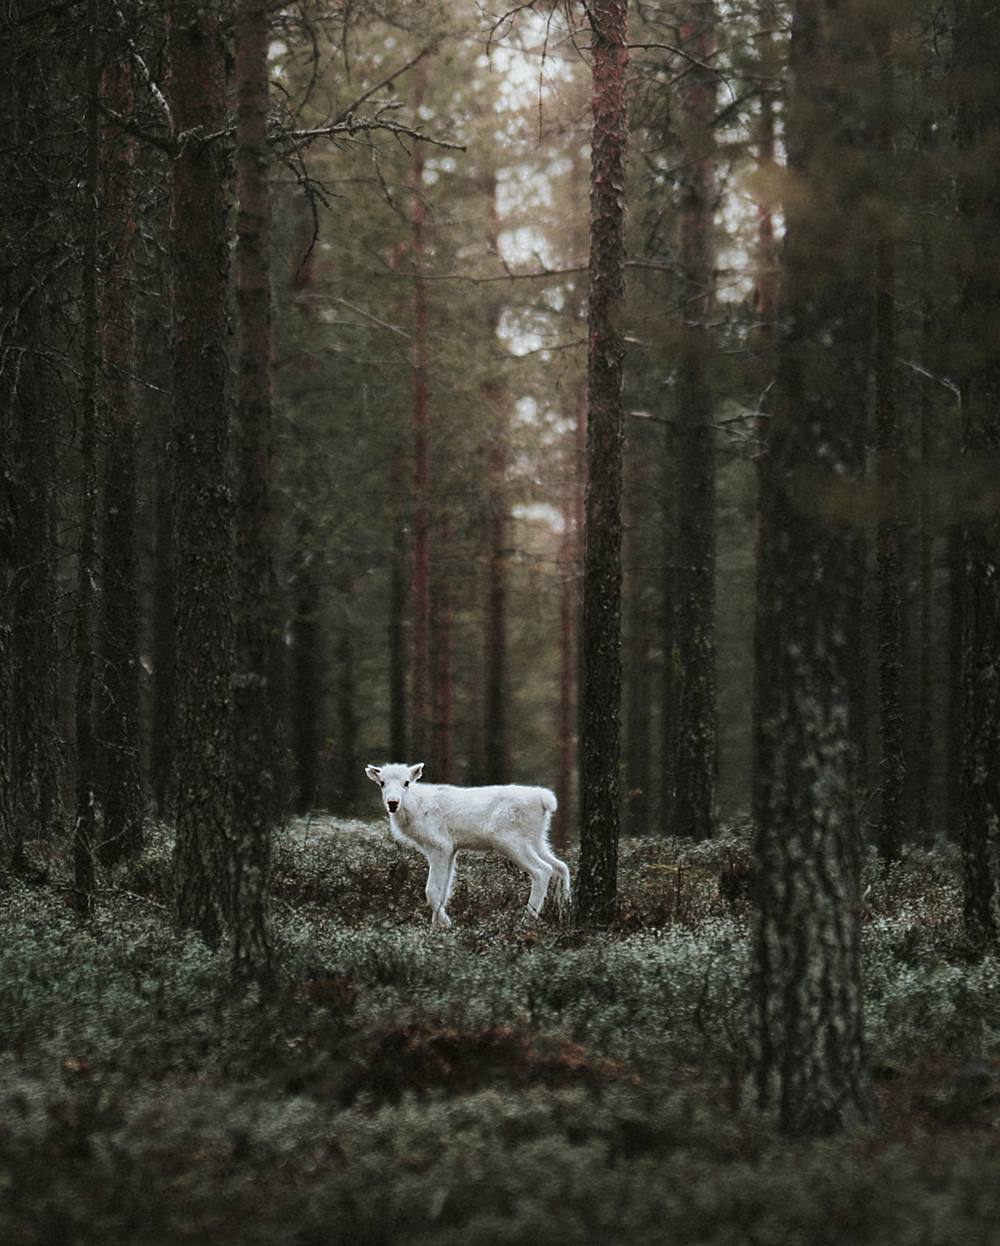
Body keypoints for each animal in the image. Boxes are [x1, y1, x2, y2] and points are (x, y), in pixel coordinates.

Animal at [368, 757, 570, 927]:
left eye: (406, 782)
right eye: (382, 783)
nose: (393, 803)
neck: (414, 810)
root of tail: (545, 800)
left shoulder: (440, 845)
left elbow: (432, 892)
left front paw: (447, 925)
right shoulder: (452, 848)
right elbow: (443, 891)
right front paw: (435, 930)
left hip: (510, 841)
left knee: (542, 870)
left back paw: (527, 921)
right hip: (537, 840)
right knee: (561, 866)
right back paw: (564, 911)